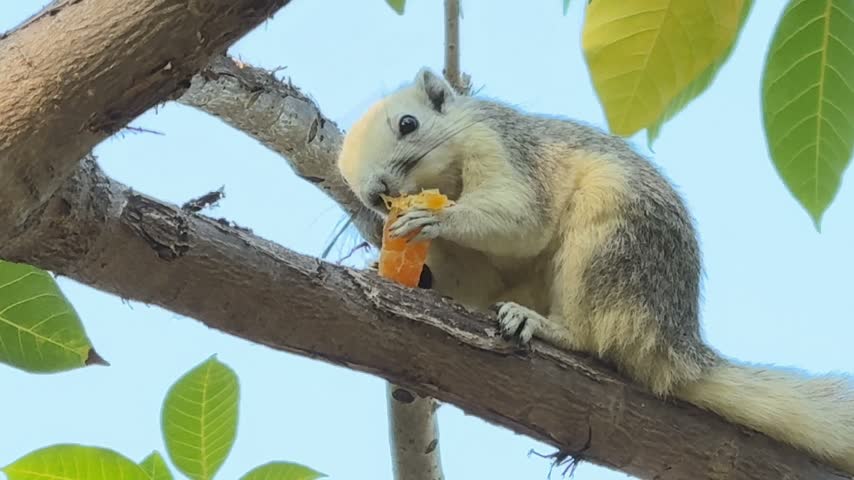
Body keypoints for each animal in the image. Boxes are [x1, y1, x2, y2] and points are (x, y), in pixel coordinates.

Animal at [336, 68, 854, 475]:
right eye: (355, 183)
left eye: (408, 123)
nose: (377, 191)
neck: (451, 180)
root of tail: (676, 343)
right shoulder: (467, 262)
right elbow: (468, 281)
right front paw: (399, 269)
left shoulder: (503, 151)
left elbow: (521, 218)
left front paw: (436, 218)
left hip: (608, 238)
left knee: (592, 336)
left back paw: (541, 325)